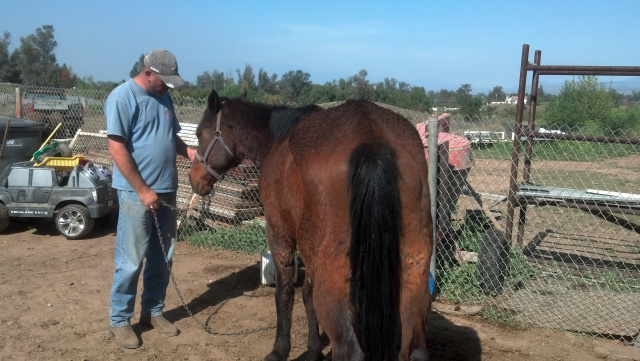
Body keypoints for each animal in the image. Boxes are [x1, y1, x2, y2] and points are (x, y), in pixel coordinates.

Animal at [188, 89, 432, 360]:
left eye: (199, 133)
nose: (194, 179)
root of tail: (371, 139)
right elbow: (307, 294)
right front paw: (314, 348)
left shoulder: (279, 233)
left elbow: (285, 293)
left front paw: (280, 350)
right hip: (414, 275)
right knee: (417, 349)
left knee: (349, 351)